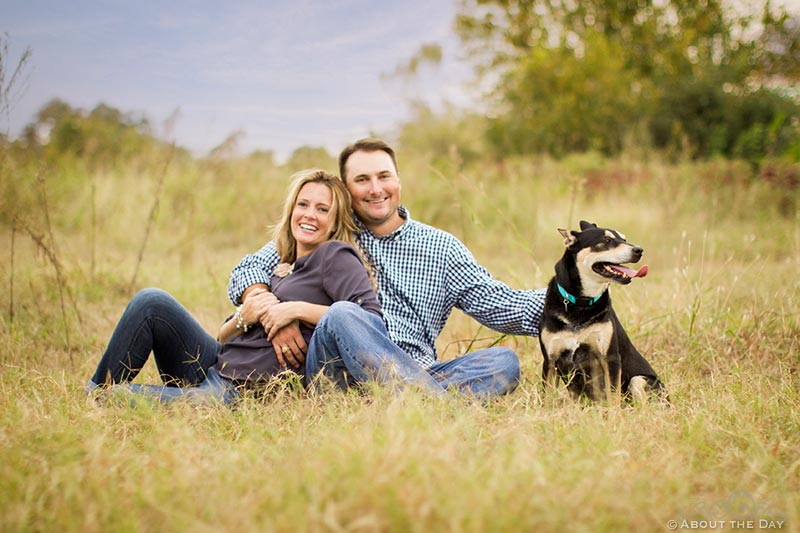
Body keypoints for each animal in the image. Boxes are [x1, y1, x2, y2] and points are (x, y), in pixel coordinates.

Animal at [540, 220, 664, 404]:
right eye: (607, 240)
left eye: (624, 239)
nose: (639, 250)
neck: (581, 303)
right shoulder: (550, 360)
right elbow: (547, 399)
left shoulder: (610, 359)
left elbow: (613, 398)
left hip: (639, 380)